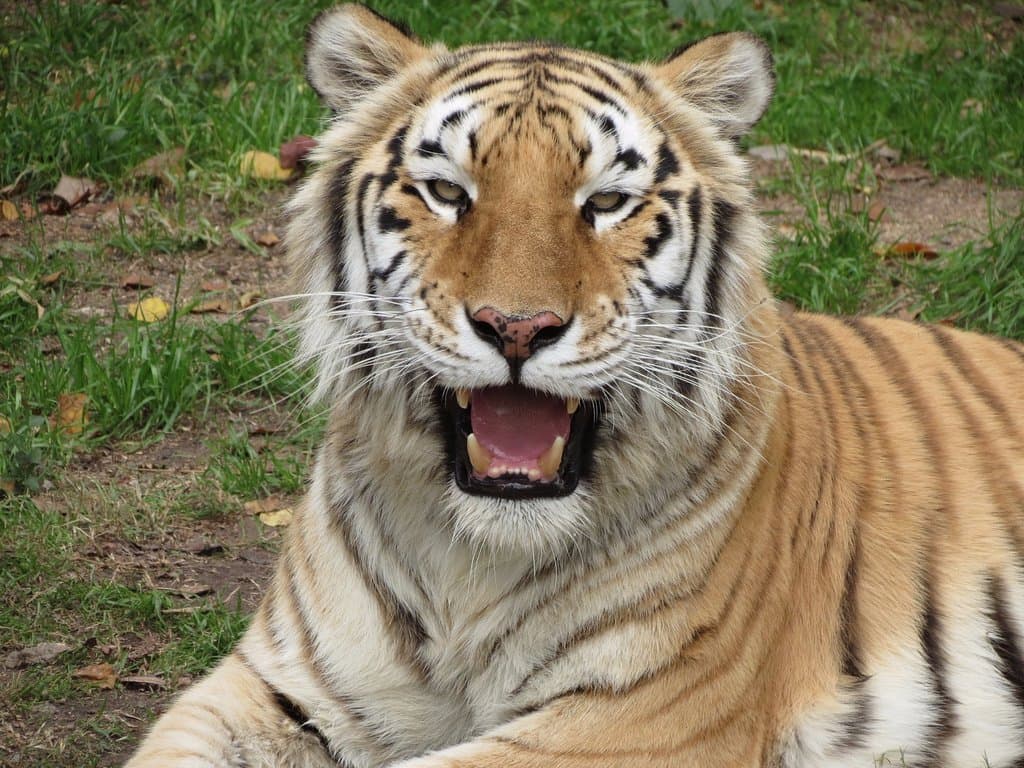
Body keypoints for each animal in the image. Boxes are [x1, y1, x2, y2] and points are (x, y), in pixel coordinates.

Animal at [125, 4, 1024, 767]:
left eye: (608, 202)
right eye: (447, 192)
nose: (517, 327)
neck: (470, 562)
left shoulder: (636, 717)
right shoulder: (282, 685)